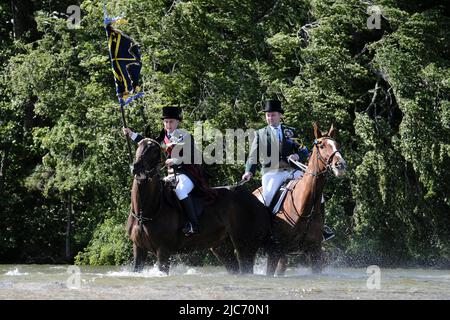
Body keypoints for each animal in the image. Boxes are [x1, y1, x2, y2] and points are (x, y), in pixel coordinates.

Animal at [125, 139, 270, 274]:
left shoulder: (163, 251)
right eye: (139, 145)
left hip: (244, 246)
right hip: (221, 248)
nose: (137, 168)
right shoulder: (139, 249)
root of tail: (257, 200)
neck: (147, 211)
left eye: (154, 150)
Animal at [253, 122, 348, 276]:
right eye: (322, 145)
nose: (340, 165)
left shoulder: (315, 252)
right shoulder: (274, 251)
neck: (304, 207)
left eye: (336, 144)